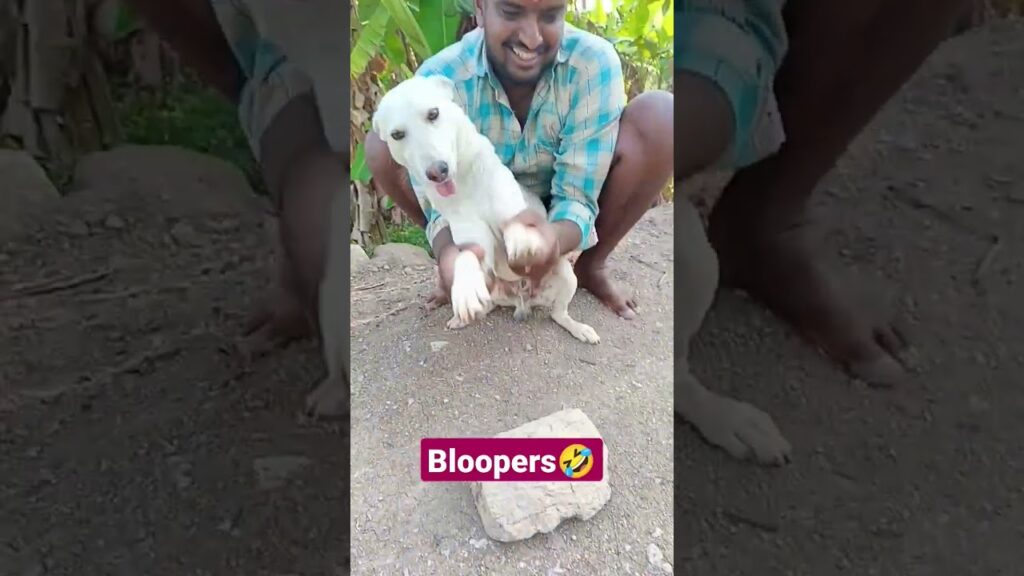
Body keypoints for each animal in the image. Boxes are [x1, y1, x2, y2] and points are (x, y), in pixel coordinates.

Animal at [372, 73, 598, 342]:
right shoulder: (472, 238)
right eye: (397, 134)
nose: (437, 172)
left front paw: (523, 239)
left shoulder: (514, 209)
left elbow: (516, 225)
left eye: (433, 113)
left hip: (566, 274)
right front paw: (465, 287)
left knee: (558, 314)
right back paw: (462, 318)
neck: (465, 181)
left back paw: (580, 328)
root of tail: (522, 300)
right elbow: (466, 256)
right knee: (489, 305)